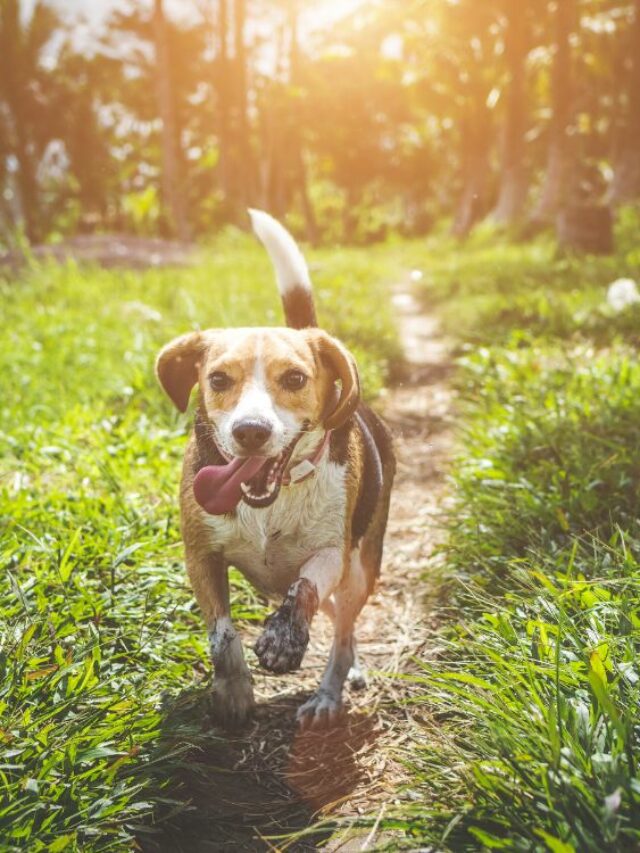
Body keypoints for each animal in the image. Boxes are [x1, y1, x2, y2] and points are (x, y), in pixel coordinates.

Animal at [156, 211, 396, 724]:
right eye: (218, 379)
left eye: (295, 378)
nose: (251, 431)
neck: (272, 500)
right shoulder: (200, 556)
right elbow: (222, 634)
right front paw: (233, 691)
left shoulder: (331, 554)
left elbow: (303, 587)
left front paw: (284, 638)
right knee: (339, 624)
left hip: (360, 570)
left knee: (341, 633)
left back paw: (329, 693)